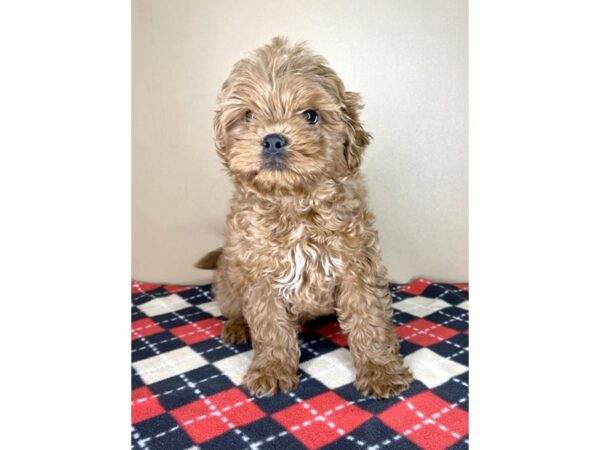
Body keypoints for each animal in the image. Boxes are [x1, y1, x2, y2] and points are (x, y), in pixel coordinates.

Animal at [197, 37, 412, 398]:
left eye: (310, 115)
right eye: (248, 115)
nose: (272, 139)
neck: (294, 203)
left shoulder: (358, 265)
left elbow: (369, 319)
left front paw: (380, 370)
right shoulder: (259, 274)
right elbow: (269, 326)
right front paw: (271, 368)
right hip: (229, 281)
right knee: (234, 308)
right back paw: (238, 327)